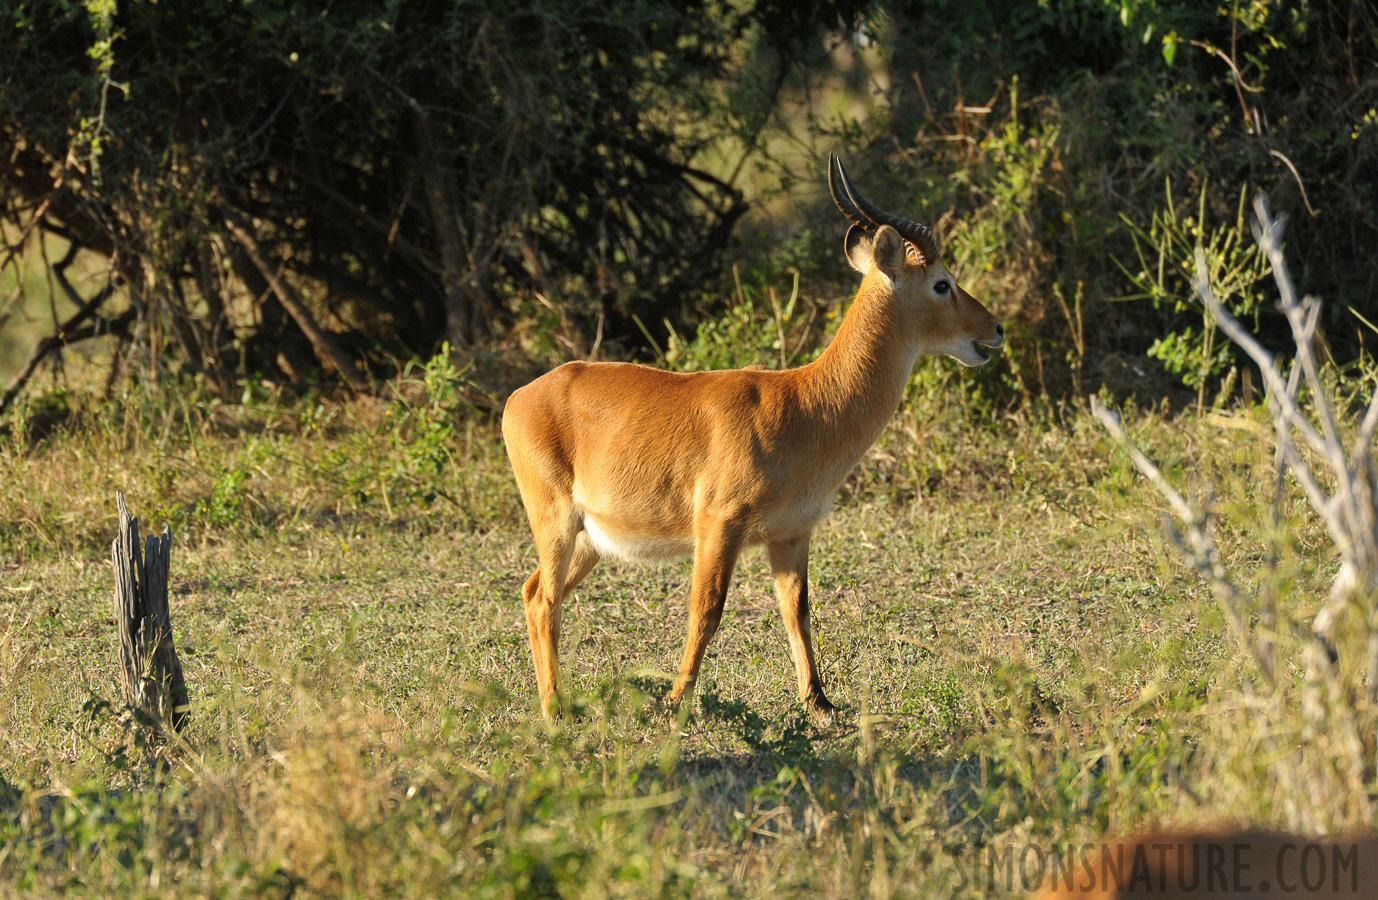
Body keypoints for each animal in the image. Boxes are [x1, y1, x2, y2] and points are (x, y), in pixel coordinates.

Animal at [504, 154, 1003, 716]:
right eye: (942, 282)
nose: (995, 329)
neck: (806, 403)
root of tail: (521, 396)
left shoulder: (791, 533)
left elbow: (797, 610)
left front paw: (819, 702)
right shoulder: (719, 526)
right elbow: (706, 610)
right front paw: (675, 703)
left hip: (589, 539)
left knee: (532, 593)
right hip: (557, 522)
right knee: (545, 600)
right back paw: (555, 711)